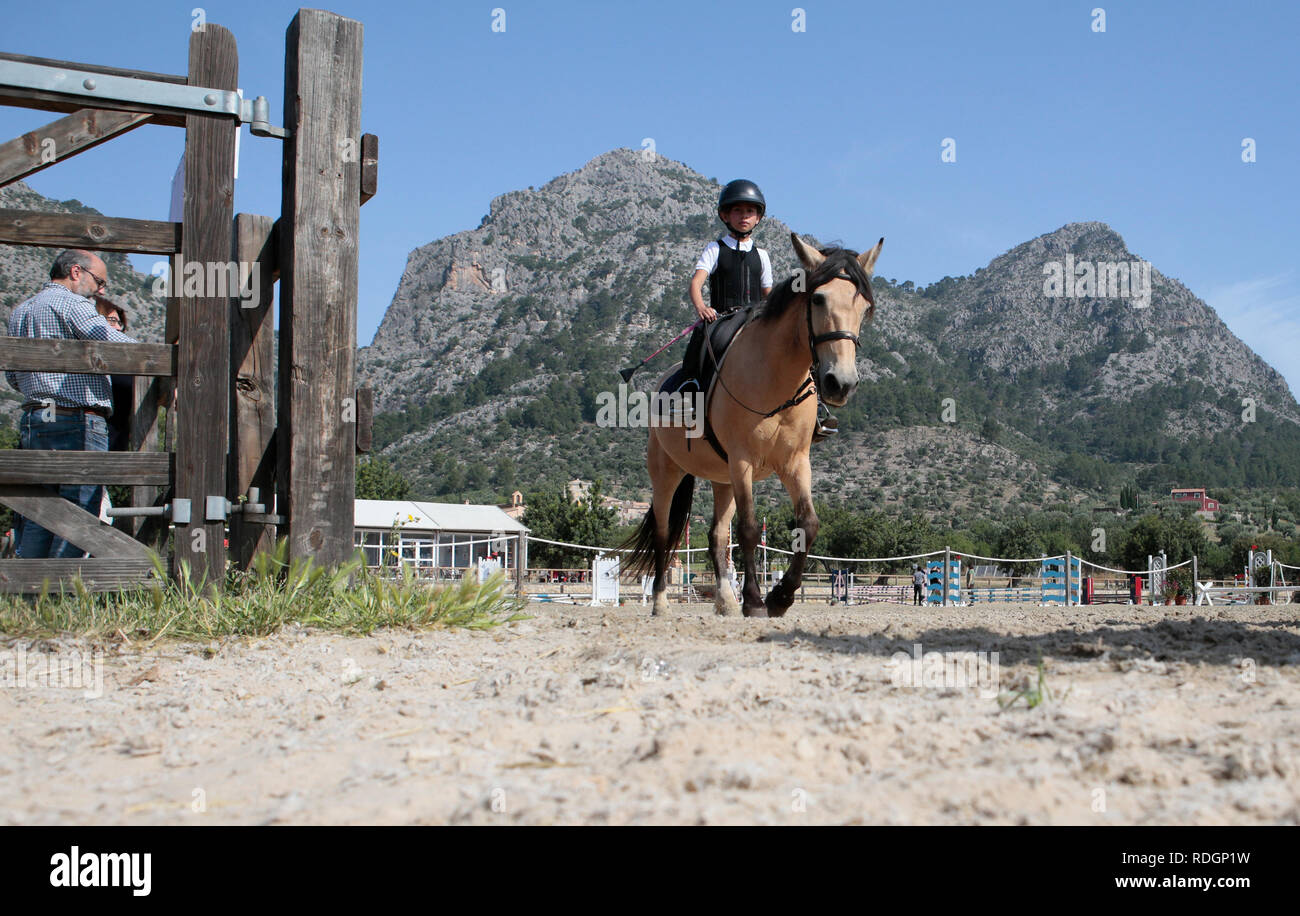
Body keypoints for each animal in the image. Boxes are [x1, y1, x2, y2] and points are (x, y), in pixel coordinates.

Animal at [621, 232, 883, 618]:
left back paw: (726, 603)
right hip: (667, 472)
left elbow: (808, 525)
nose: (841, 384)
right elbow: (747, 529)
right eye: (818, 299)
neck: (775, 378)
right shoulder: (743, 460)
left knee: (716, 535)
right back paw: (661, 603)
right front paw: (757, 601)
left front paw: (781, 597)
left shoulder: (795, 463)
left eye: (864, 307)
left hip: (722, 479)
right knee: (664, 533)